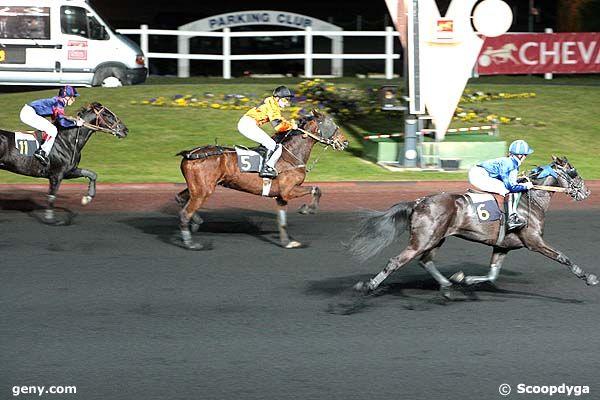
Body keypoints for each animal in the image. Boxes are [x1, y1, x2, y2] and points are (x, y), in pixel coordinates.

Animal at [173, 108, 346, 250]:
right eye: (331, 123)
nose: (345, 141)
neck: (290, 155)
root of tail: (189, 154)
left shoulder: (281, 196)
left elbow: (282, 221)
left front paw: (287, 242)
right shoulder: (288, 190)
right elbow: (316, 189)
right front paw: (307, 209)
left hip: (197, 188)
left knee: (180, 199)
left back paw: (196, 222)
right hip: (204, 190)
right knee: (185, 212)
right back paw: (191, 243)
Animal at [346, 156, 596, 300]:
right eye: (573, 172)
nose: (586, 192)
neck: (530, 201)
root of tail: (417, 202)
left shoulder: (502, 246)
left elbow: (492, 275)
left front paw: (463, 279)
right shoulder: (534, 241)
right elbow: (563, 257)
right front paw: (589, 278)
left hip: (436, 238)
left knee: (426, 261)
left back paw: (447, 286)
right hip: (423, 240)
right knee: (396, 261)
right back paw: (367, 286)